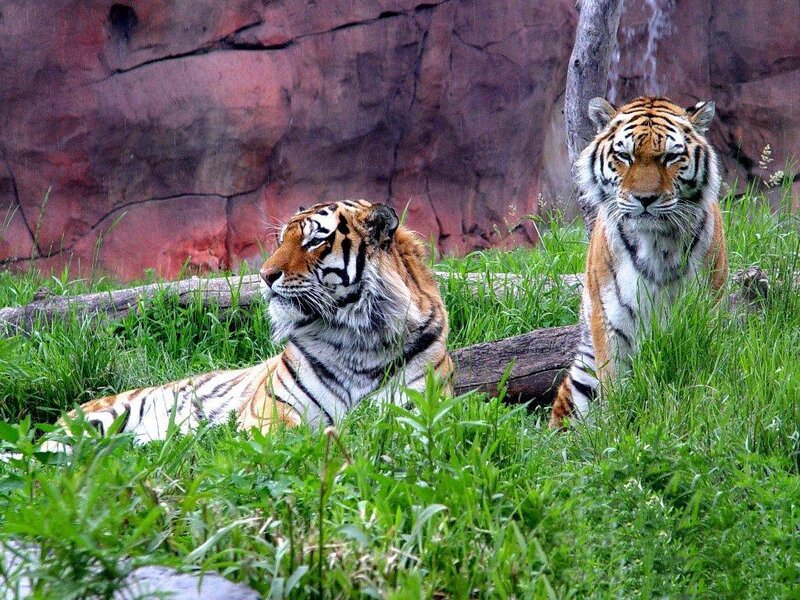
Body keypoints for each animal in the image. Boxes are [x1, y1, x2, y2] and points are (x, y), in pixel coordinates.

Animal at [43, 199, 453, 449]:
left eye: (314, 241)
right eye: (281, 240)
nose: (265, 275)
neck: (357, 337)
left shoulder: (421, 412)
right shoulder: (270, 415)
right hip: (94, 422)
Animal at [549, 96, 728, 428]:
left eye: (671, 157)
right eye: (624, 155)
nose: (645, 199)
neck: (658, 243)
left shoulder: (705, 309)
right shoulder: (610, 319)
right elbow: (615, 383)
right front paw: (618, 428)